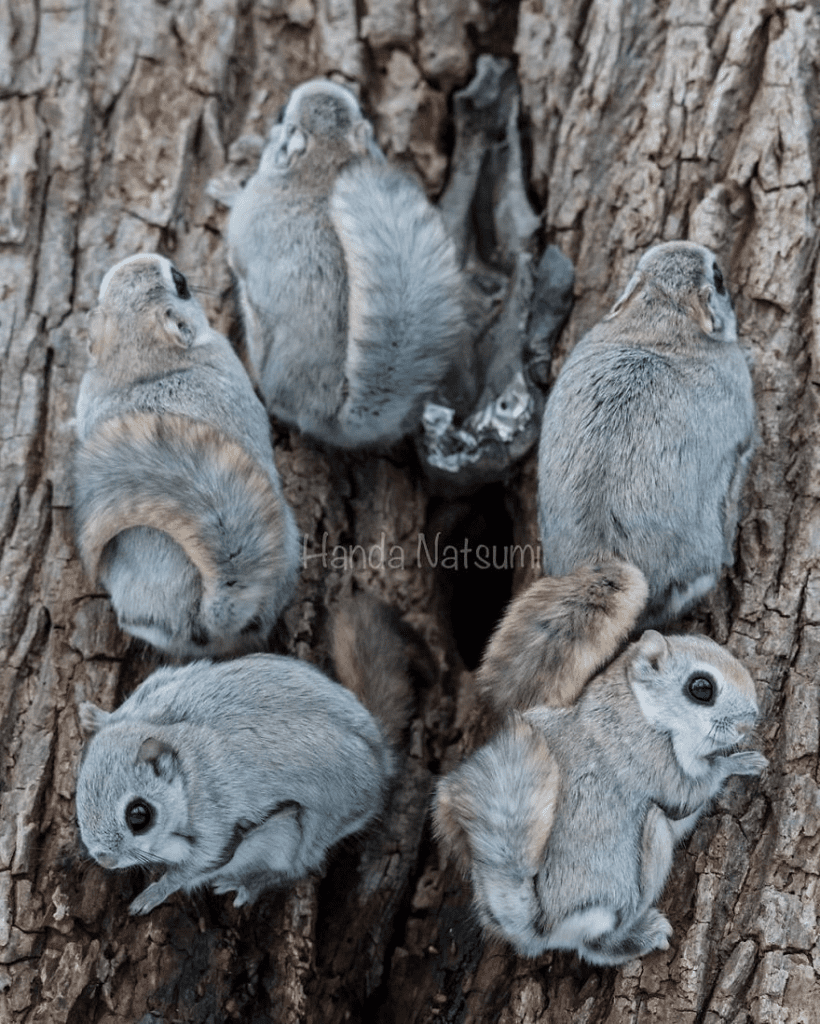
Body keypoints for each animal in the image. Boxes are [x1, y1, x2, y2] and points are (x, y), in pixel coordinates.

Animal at [75, 589, 427, 917]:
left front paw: (153, 894)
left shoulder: (215, 821)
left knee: (297, 867)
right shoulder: (157, 689)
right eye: (78, 798)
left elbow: (193, 868)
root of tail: (379, 753)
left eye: (139, 816)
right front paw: (96, 716)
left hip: (306, 830)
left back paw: (248, 883)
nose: (105, 859)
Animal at [438, 565, 765, 962]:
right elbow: (690, 792)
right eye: (701, 688)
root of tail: (542, 927)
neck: (642, 707)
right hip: (635, 871)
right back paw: (638, 936)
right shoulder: (650, 759)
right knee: (597, 944)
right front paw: (740, 763)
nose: (750, 722)